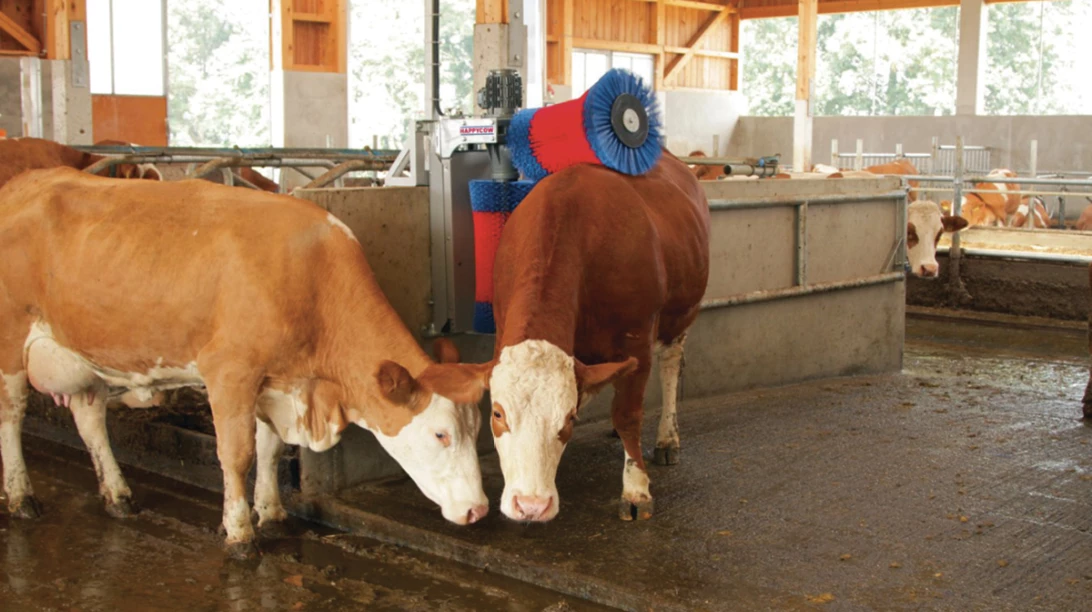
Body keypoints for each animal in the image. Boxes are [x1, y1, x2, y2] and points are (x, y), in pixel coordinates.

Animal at [0, 168, 490, 557]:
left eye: (476, 428)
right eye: (441, 434)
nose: (478, 509)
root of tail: (26, 181)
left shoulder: (274, 382)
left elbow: (269, 450)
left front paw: (271, 513)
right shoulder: (230, 371)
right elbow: (237, 455)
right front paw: (239, 534)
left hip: (82, 354)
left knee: (90, 421)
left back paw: (117, 495)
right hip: (10, 343)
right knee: (12, 415)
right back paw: (21, 496)